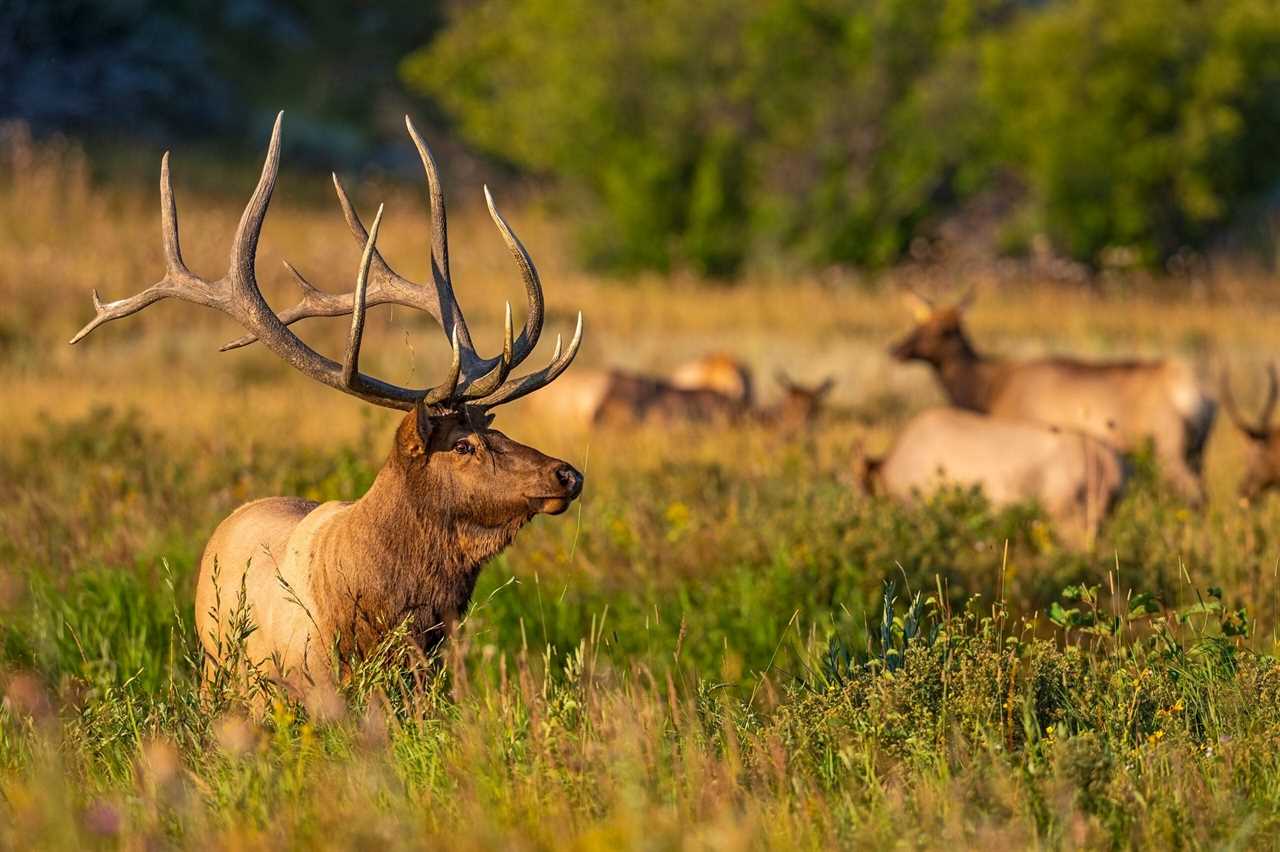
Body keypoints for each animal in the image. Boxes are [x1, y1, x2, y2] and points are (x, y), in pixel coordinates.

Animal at [885, 289, 1213, 501]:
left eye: (945, 330)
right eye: (918, 322)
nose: (896, 349)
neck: (987, 391)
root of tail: (1200, 396)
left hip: (1171, 452)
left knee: (1196, 497)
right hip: (1197, 453)